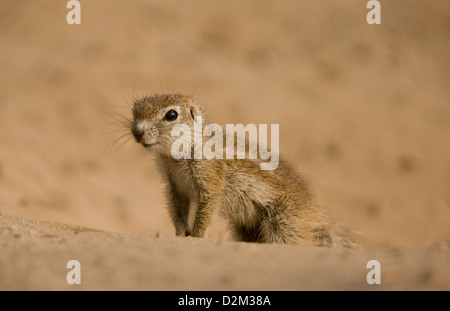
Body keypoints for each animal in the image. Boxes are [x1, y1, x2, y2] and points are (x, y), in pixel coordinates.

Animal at [130, 94, 358, 247]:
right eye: (135, 110)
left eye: (171, 115)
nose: (137, 131)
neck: (177, 157)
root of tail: (316, 216)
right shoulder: (174, 186)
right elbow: (177, 211)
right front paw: (180, 233)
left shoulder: (210, 178)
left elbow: (206, 209)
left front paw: (197, 236)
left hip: (284, 223)